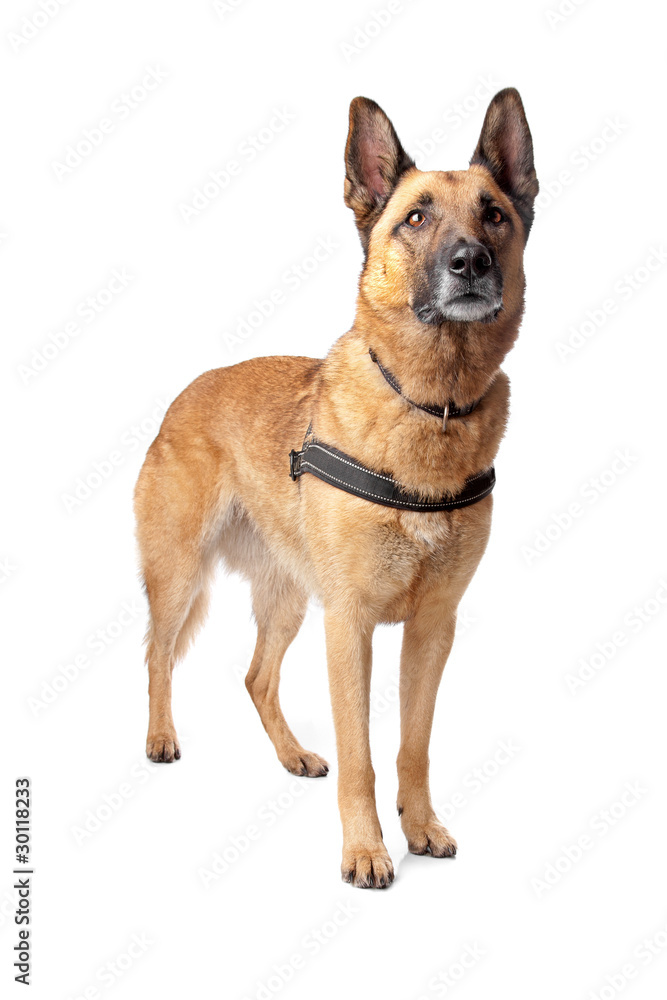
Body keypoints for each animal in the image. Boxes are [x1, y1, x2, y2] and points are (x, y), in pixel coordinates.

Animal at [134, 88, 538, 888]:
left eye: (494, 214)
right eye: (415, 217)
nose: (470, 261)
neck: (429, 405)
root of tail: (183, 396)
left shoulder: (432, 629)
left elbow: (411, 747)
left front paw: (421, 828)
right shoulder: (348, 626)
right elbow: (361, 757)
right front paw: (365, 851)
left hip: (289, 598)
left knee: (257, 677)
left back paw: (292, 755)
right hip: (180, 573)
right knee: (158, 655)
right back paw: (162, 738)